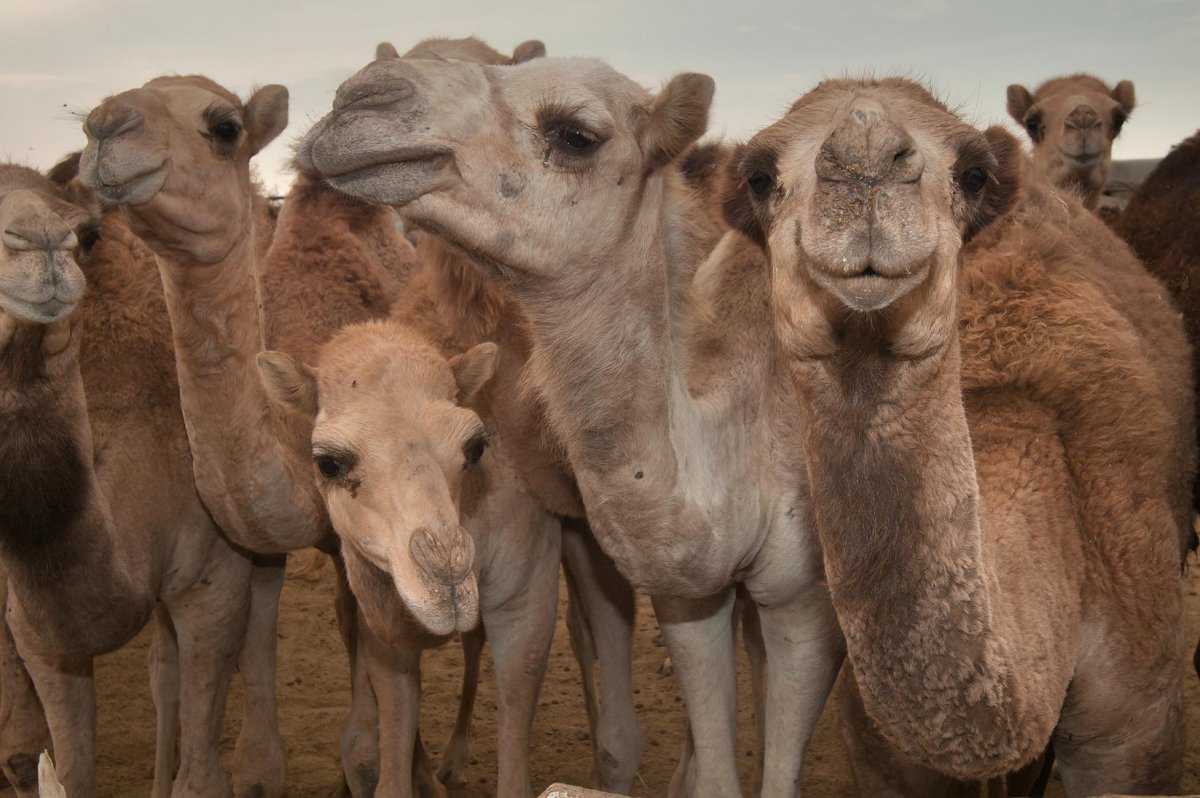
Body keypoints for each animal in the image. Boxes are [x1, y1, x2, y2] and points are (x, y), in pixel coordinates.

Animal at [0, 161, 289, 798]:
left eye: (84, 235)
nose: (40, 243)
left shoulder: (211, 580)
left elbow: (201, 777)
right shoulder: (36, 630)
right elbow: (65, 770)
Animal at [258, 319, 561, 797]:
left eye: (475, 447)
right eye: (328, 463)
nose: (446, 575)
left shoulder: (527, 588)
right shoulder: (385, 613)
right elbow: (395, 722)